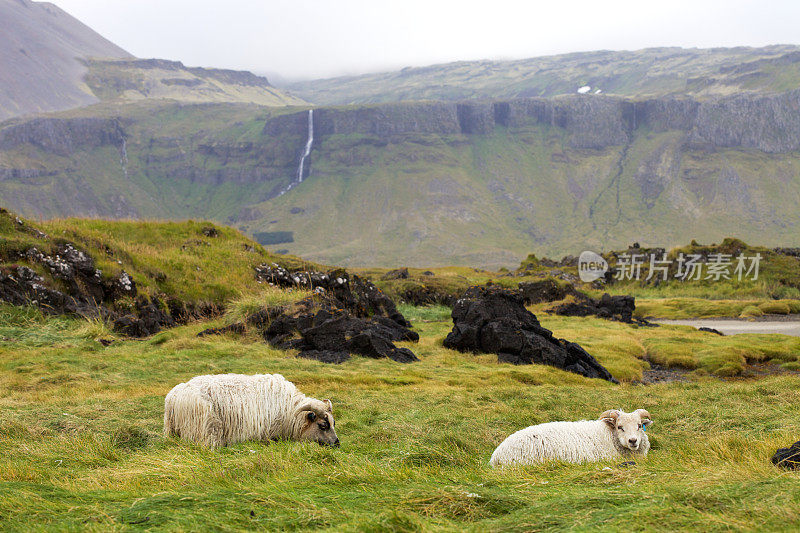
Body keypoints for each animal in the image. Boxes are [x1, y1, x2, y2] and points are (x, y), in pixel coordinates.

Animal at [162, 372, 338, 446]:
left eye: (333, 423)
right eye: (322, 425)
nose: (337, 444)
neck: (291, 411)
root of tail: (173, 398)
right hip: (207, 428)